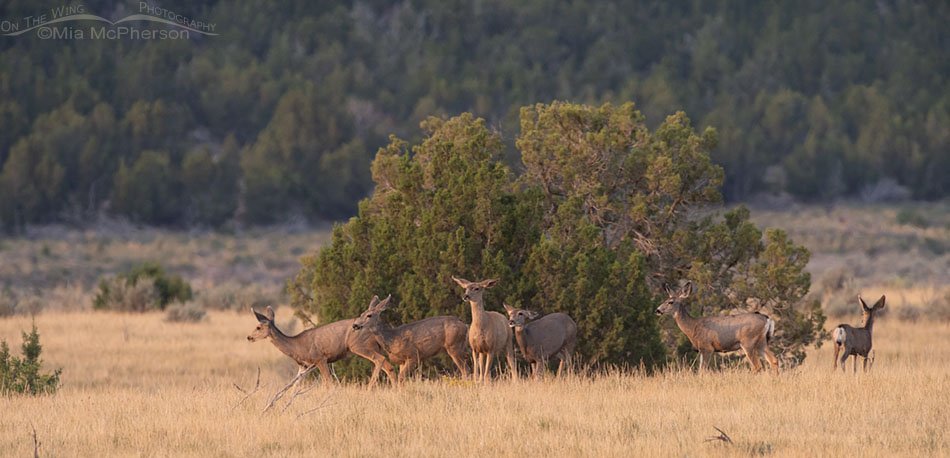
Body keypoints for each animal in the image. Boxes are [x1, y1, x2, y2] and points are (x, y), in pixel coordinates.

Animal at [247, 305, 395, 388]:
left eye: (258, 327)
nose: (249, 337)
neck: (296, 347)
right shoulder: (304, 366)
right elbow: (294, 386)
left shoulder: (320, 359)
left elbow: (328, 383)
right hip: (374, 347)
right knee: (388, 365)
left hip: (359, 346)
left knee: (380, 360)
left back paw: (370, 388)